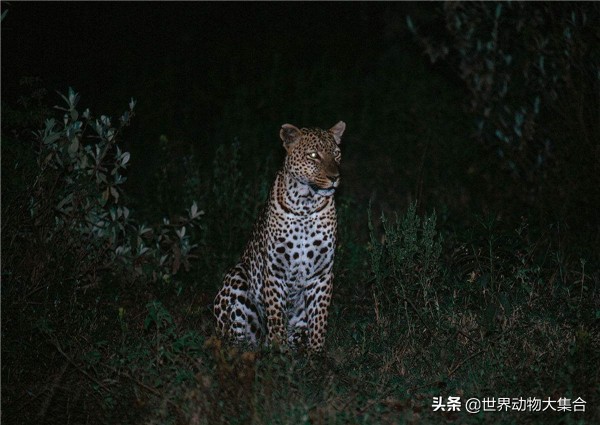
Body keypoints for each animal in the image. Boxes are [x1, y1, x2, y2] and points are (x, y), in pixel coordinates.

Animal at [214, 119, 346, 352]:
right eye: (314, 155)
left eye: (337, 154)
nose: (335, 178)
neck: (305, 205)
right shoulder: (275, 270)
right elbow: (276, 316)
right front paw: (278, 353)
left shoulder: (321, 273)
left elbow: (319, 318)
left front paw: (316, 354)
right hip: (237, 276)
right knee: (238, 338)